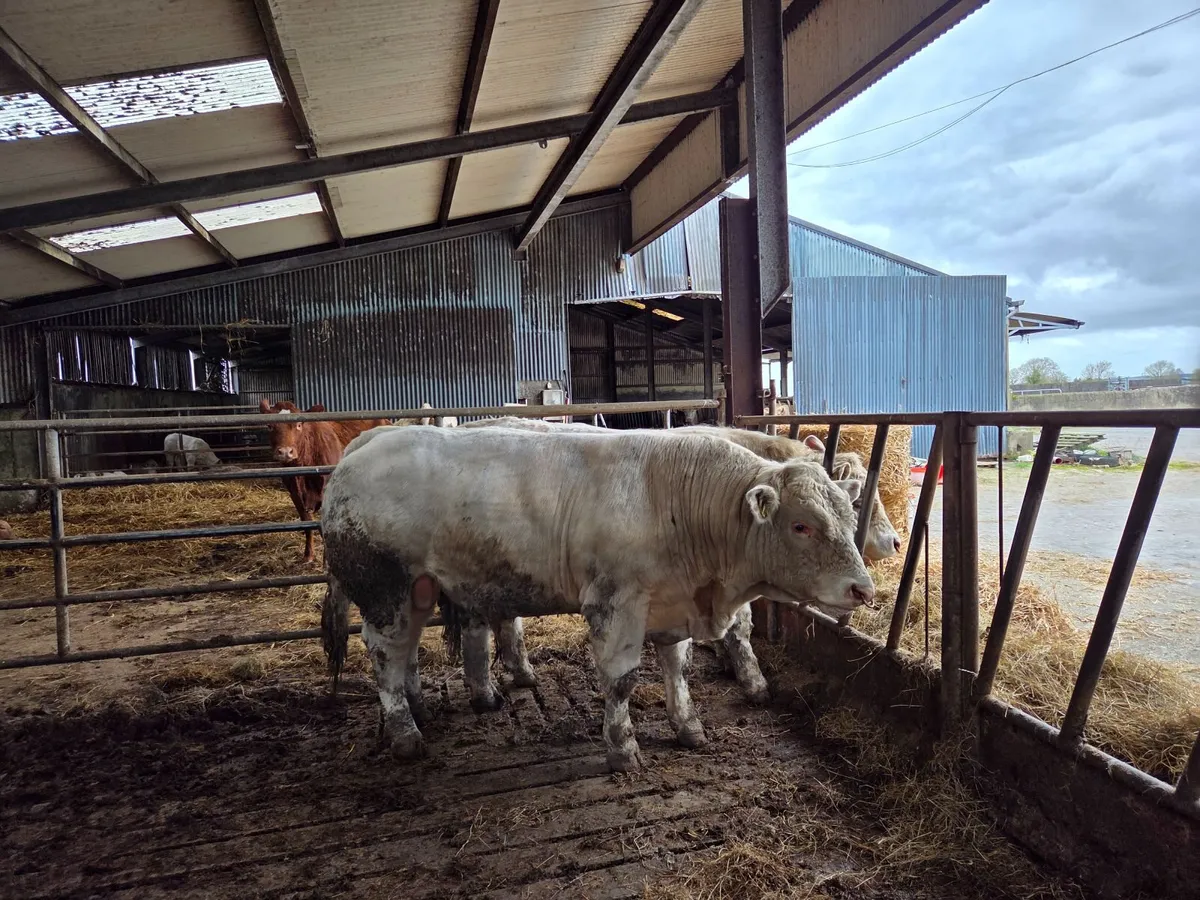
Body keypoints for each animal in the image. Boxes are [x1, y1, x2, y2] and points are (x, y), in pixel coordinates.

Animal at [259, 399, 392, 563]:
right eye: (270, 426)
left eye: (298, 425)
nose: (285, 452)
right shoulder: (294, 493)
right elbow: (307, 522)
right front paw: (309, 554)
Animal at [320, 425, 874, 770]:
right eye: (802, 525)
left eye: (849, 516)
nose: (863, 589)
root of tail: (367, 444)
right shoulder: (616, 603)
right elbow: (622, 680)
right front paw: (622, 748)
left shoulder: (672, 603)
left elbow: (677, 668)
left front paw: (688, 727)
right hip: (384, 588)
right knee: (386, 655)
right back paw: (405, 734)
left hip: (418, 589)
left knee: (407, 651)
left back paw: (419, 710)